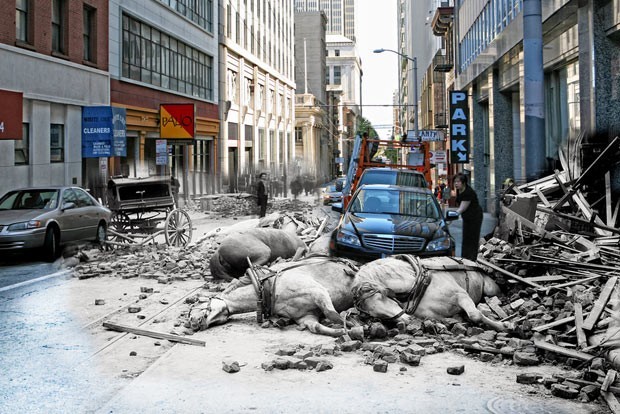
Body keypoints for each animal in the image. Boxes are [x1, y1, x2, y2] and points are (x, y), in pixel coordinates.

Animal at [189, 258, 358, 338]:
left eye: (200, 304)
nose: (193, 322)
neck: (267, 286)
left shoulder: (318, 292)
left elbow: (332, 314)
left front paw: (352, 324)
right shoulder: (306, 316)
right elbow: (316, 327)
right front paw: (341, 331)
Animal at [352, 254, 512, 332]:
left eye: (382, 297)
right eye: (374, 314)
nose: (407, 320)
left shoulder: (461, 295)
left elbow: (475, 315)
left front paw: (502, 326)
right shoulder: (432, 314)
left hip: (491, 289)